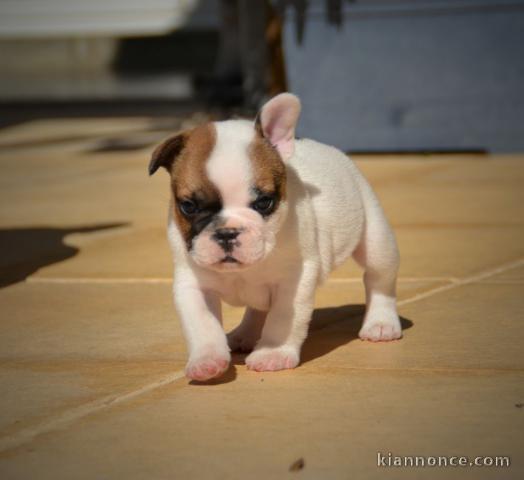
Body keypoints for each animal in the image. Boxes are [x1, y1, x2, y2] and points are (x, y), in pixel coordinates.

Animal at [147, 92, 402, 380]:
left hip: (376, 237)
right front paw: (206, 360)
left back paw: (381, 323)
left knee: (379, 278)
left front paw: (273, 353)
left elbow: (282, 319)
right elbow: (202, 324)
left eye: (264, 203)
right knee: (257, 309)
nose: (227, 232)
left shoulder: (294, 280)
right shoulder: (192, 283)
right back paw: (244, 335)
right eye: (188, 206)